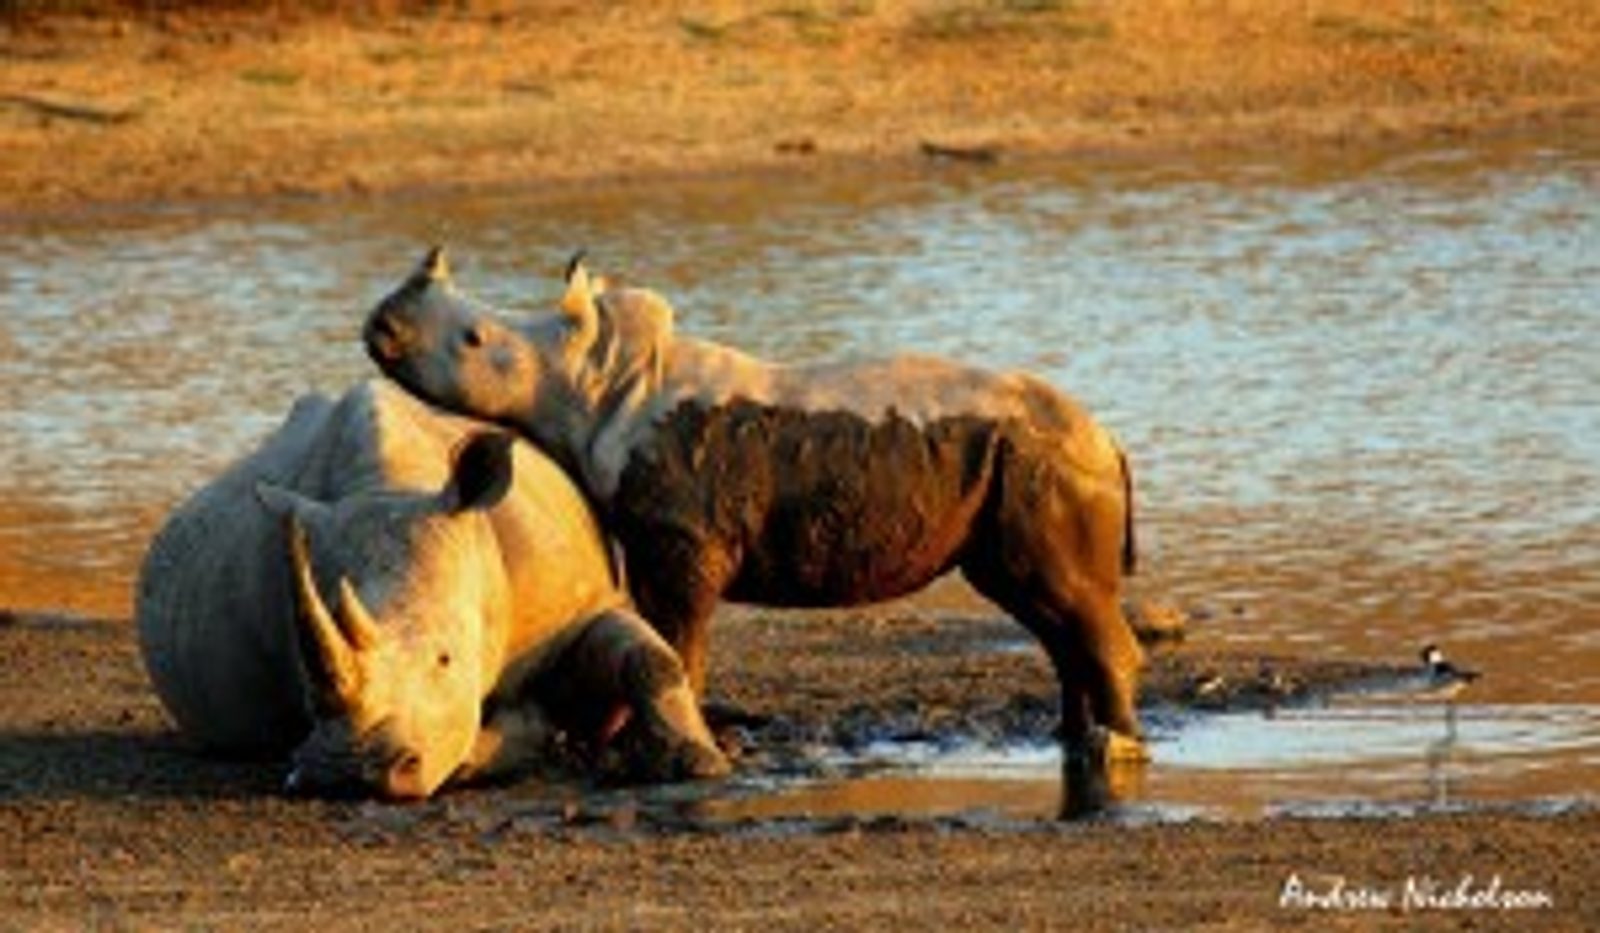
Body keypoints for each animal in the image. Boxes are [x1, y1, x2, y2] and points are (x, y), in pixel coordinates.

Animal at [136, 378, 728, 799]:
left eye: (445, 660)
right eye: (305, 680)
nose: (348, 772)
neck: (393, 484)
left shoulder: (576, 607)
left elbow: (649, 658)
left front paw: (697, 766)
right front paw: (524, 735)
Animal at [364, 250, 1146, 759]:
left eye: (473, 340)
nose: (380, 324)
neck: (590, 378)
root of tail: (1108, 439)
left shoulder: (683, 539)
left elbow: (679, 642)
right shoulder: (656, 538)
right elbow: (660, 636)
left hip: (1050, 463)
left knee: (1064, 598)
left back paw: (1114, 747)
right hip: (1023, 468)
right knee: (1042, 604)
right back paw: (1073, 736)